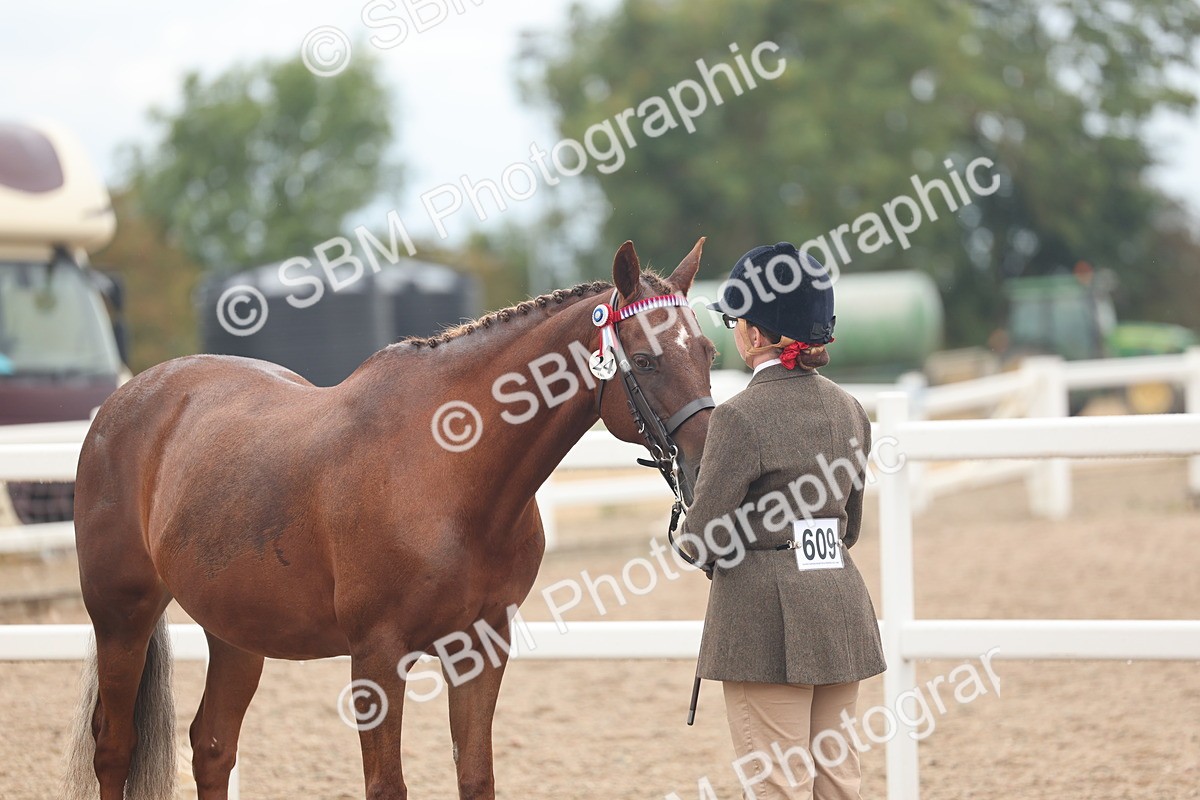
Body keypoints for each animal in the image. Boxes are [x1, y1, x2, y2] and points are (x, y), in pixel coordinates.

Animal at [63, 237, 716, 800]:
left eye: (709, 353)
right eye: (645, 360)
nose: (708, 465)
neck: (447, 469)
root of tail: (130, 398)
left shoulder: (481, 649)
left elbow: (476, 778)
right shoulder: (376, 656)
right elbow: (386, 785)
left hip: (236, 633)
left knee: (212, 747)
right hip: (122, 616)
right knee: (114, 747)